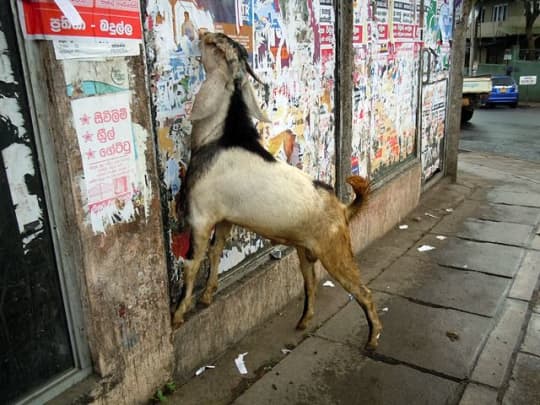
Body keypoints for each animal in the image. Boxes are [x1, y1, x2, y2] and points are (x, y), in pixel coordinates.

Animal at [171, 31, 382, 348]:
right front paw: (208, 295)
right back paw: (304, 321)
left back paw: (372, 338)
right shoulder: (225, 219)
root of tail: (344, 208)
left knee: (364, 292)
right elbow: (215, 252)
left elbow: (192, 263)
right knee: (311, 284)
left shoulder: (200, 216)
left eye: (216, 47)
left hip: (336, 251)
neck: (220, 135)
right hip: (306, 251)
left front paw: (178, 315)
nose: (205, 34)